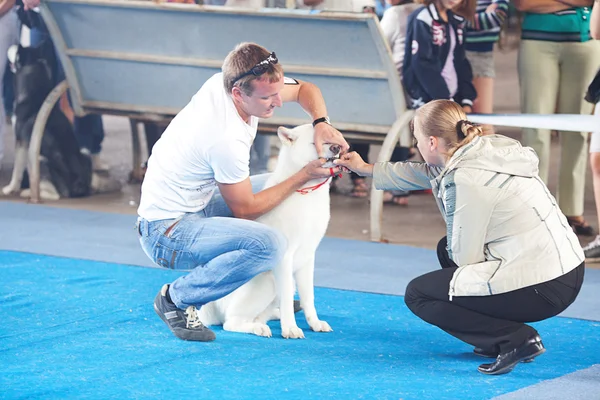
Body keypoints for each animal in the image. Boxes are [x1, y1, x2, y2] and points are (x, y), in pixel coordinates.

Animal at [197, 123, 338, 340]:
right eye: (315, 142)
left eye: (331, 140)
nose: (337, 148)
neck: (307, 194)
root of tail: (210, 307)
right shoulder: (286, 259)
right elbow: (288, 300)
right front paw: (290, 328)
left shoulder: (308, 258)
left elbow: (309, 298)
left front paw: (314, 323)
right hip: (267, 282)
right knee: (231, 322)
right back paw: (258, 328)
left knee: (261, 315)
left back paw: (269, 318)